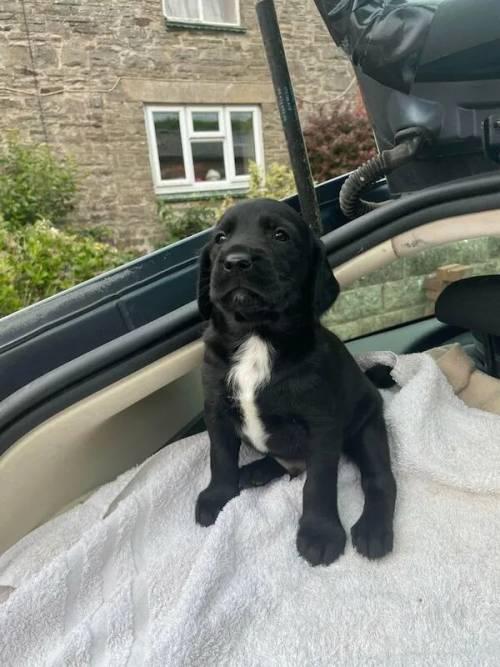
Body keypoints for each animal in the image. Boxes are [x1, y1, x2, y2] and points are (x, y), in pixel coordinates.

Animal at [195, 200, 394, 568]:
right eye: (220, 238)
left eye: (280, 235)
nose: (235, 261)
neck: (256, 336)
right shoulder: (215, 408)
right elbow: (221, 456)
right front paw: (219, 497)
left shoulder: (321, 425)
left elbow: (318, 484)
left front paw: (320, 534)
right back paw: (256, 471)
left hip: (368, 429)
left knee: (380, 480)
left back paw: (373, 530)